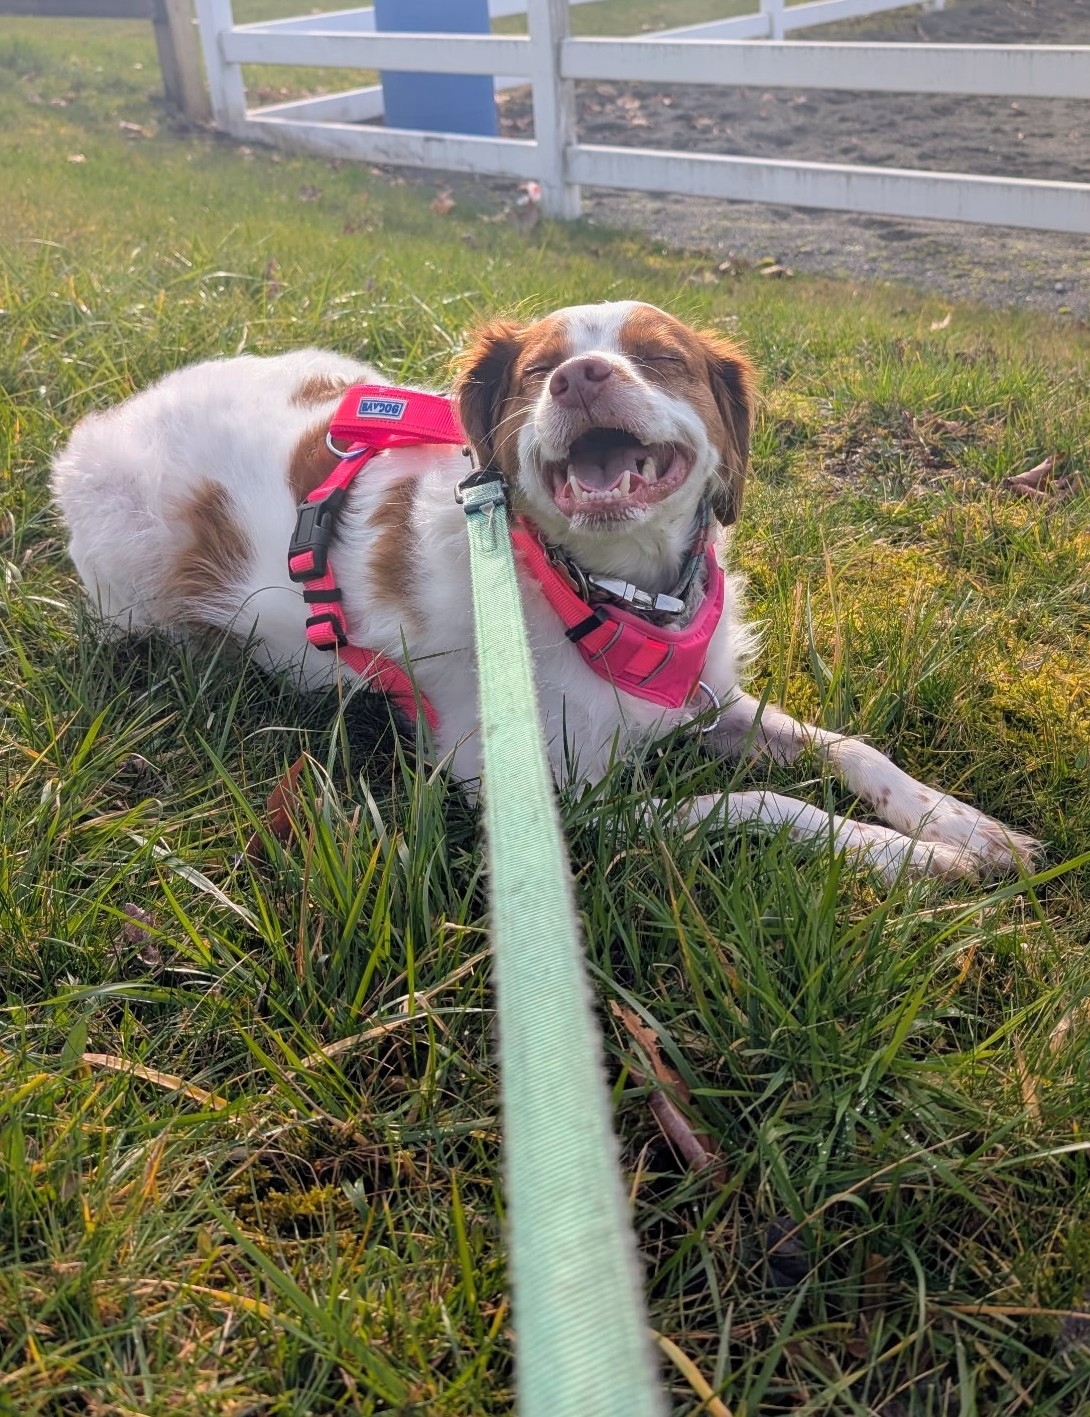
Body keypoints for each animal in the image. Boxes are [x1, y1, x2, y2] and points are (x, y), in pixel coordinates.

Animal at [51, 300, 1036, 884]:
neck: (610, 594)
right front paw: (902, 856)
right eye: (535, 370)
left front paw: (954, 823)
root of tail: (112, 417)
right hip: (133, 585)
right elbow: (758, 804)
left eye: (659, 357)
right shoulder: (556, 805)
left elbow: (852, 747)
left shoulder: (707, 698)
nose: (580, 375)